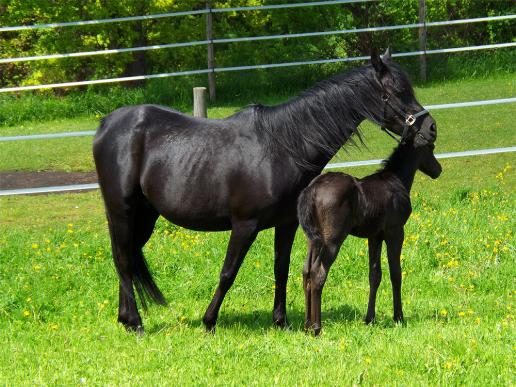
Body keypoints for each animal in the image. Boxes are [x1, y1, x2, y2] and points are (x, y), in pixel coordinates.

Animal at [296, 140, 442, 336]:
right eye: (431, 149)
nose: (438, 169)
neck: (396, 181)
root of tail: (312, 189)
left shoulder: (374, 237)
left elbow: (375, 275)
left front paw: (369, 318)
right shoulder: (395, 232)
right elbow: (396, 273)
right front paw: (399, 317)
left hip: (313, 240)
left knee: (306, 272)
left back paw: (307, 325)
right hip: (332, 240)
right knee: (318, 273)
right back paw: (317, 327)